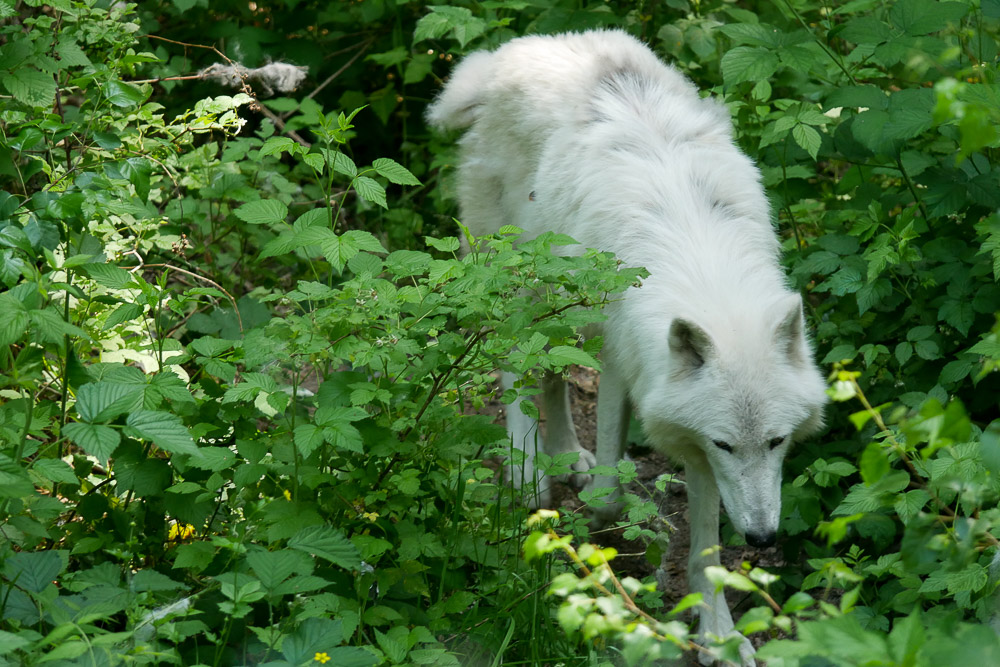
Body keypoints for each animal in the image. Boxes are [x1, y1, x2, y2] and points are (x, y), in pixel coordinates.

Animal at [430, 30, 828, 664]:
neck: (700, 257)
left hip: (562, 306)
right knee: (514, 365)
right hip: (518, 281)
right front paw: (601, 529)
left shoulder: (691, 436)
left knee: (549, 371)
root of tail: (506, 55)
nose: (764, 536)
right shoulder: (628, 365)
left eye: (776, 442)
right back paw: (529, 470)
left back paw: (566, 454)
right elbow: (614, 496)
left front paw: (718, 634)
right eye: (728, 443)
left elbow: (707, 546)